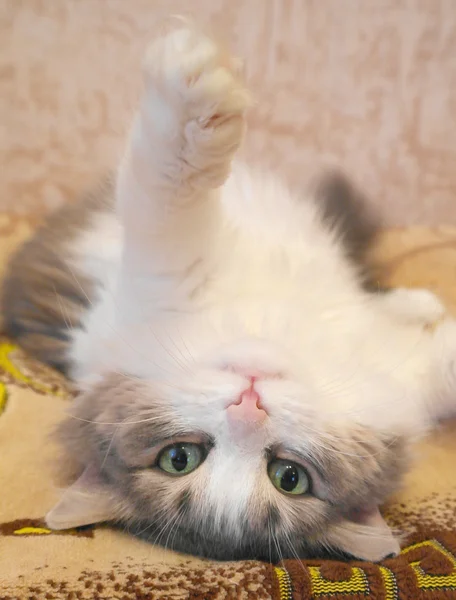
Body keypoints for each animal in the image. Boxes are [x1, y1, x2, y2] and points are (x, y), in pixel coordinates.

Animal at [3, 19, 456, 564]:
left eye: (289, 477)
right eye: (180, 457)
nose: (248, 404)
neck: (276, 330)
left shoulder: (402, 380)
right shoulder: (164, 273)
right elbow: (167, 188)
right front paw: (189, 83)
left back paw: (417, 303)